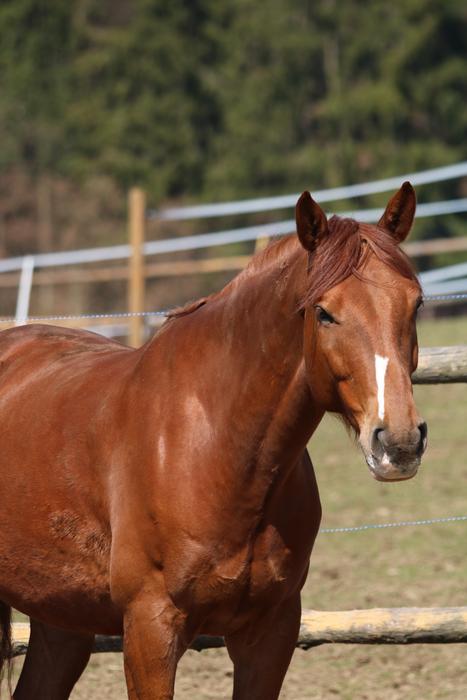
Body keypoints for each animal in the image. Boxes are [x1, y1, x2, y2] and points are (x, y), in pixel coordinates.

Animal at [0, 183, 427, 699]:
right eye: (324, 312)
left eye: (416, 303)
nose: (399, 443)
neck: (218, 451)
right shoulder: (150, 628)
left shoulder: (271, 631)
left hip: (61, 616)